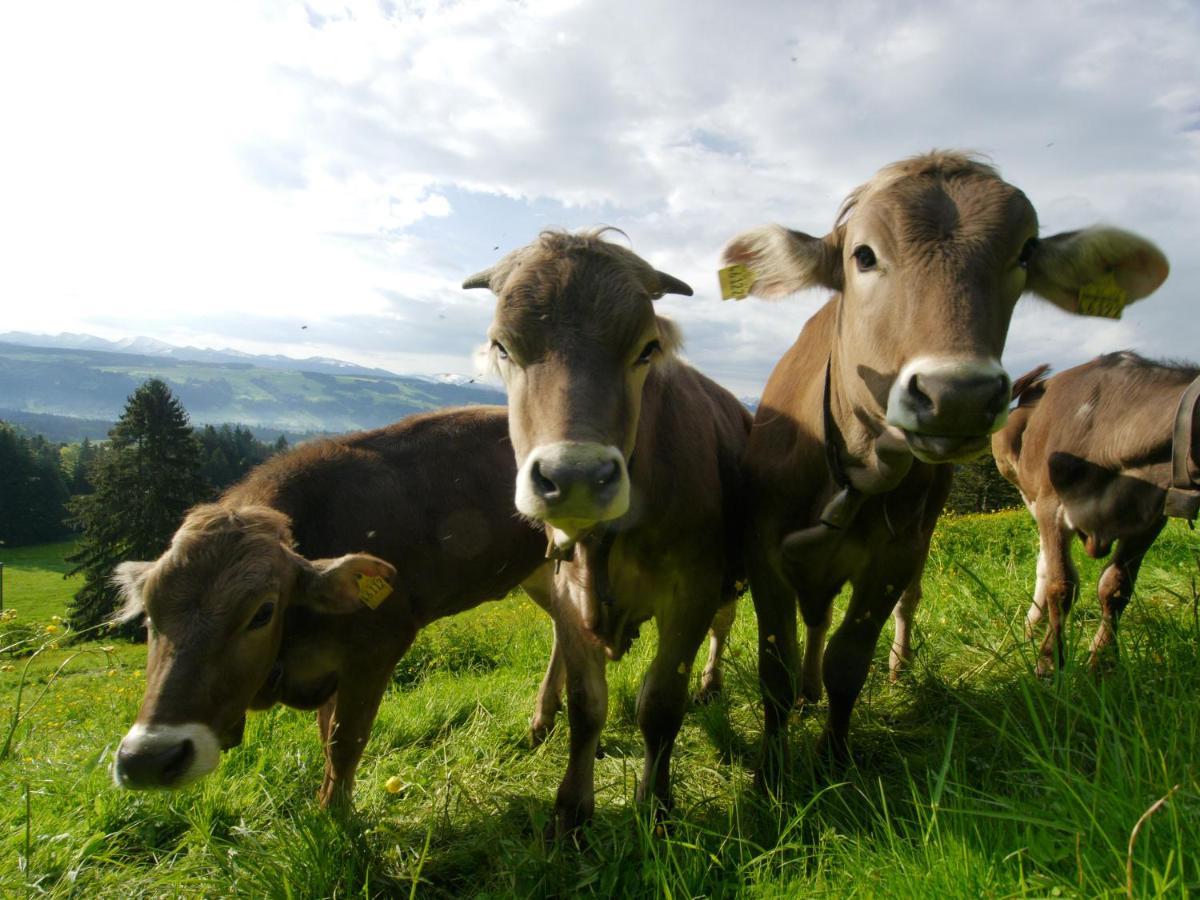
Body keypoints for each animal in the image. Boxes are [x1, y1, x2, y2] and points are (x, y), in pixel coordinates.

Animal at [109, 408, 552, 811]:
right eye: (148, 615)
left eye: (262, 612)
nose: (149, 760)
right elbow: (326, 736)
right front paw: (327, 805)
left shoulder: (378, 647)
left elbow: (346, 740)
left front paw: (336, 817)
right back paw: (542, 727)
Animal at [460, 229, 748, 835]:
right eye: (503, 346)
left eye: (646, 349)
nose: (574, 477)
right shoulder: (570, 592)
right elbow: (588, 706)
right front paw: (571, 814)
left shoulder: (693, 590)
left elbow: (660, 705)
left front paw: (656, 806)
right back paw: (542, 715)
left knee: (725, 623)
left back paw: (711, 685)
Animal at [720, 150, 1171, 782]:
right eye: (863, 255)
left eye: (1024, 253)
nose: (957, 393)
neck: (855, 468)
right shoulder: (764, 551)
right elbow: (776, 670)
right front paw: (771, 778)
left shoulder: (894, 553)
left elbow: (848, 661)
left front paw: (833, 762)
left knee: (889, 607)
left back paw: (894, 667)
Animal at [988, 352, 1195, 676]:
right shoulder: (1052, 506)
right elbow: (1061, 586)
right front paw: (1049, 662)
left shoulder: (1149, 519)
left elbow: (1116, 587)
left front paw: (1103, 662)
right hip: (1022, 485)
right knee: (1044, 561)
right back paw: (1032, 626)